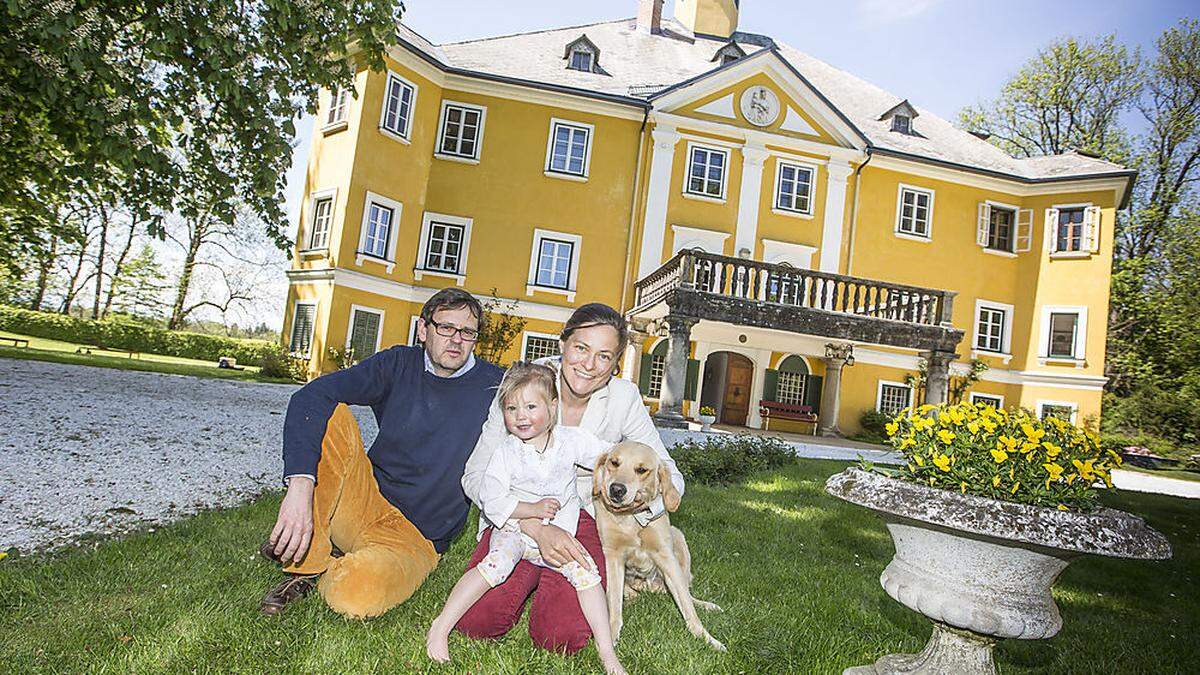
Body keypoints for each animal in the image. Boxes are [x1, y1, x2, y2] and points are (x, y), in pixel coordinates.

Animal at [590, 439, 720, 648]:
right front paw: (611, 636)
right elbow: (614, 603)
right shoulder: (613, 556)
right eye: (614, 463)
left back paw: (707, 605)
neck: (632, 520)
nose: (616, 489)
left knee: (688, 593)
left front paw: (706, 637)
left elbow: (687, 606)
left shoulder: (665, 556)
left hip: (678, 537)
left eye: (641, 470)